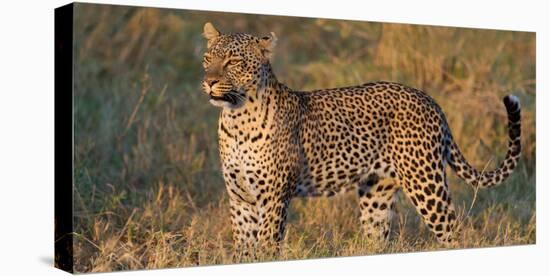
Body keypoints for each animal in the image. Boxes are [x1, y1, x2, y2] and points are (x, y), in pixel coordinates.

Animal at [201, 22, 524, 258]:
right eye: (207, 59)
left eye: (233, 62)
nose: (208, 81)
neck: (236, 120)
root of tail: (429, 99)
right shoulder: (240, 199)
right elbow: (244, 250)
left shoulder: (273, 198)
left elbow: (267, 247)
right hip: (376, 195)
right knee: (378, 240)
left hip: (426, 183)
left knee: (454, 233)